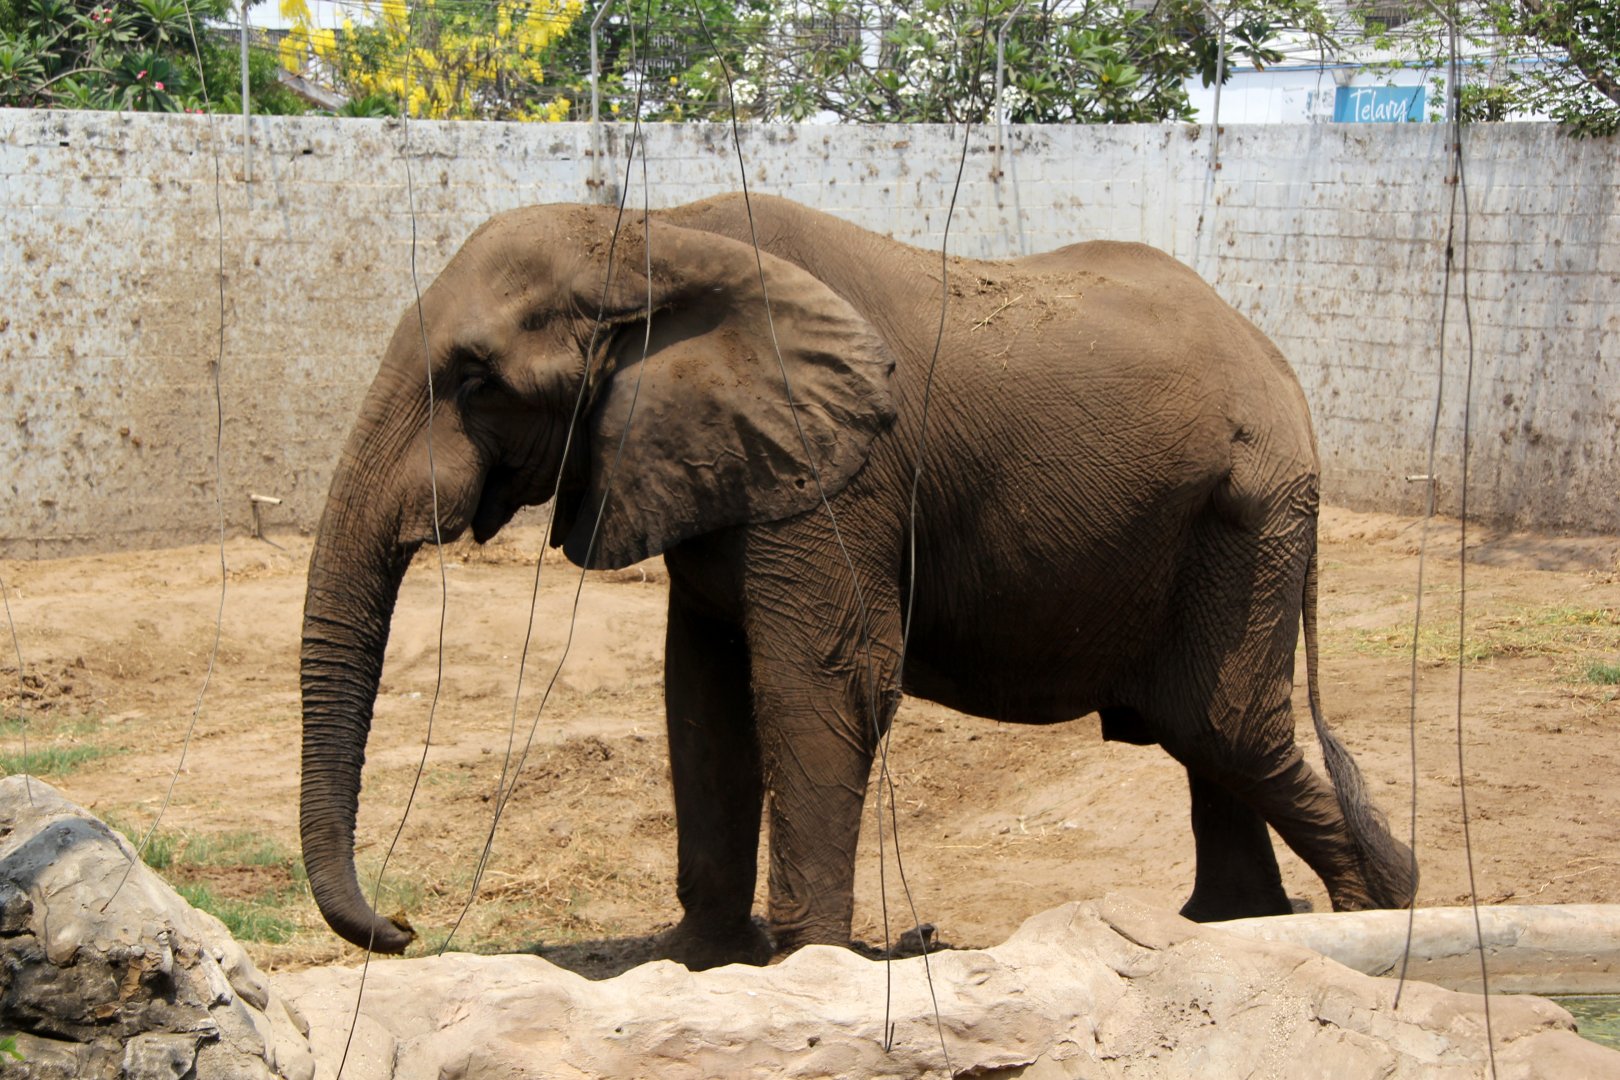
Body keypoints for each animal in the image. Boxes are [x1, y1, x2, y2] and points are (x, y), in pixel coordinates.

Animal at [300, 192, 1417, 970]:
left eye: (476, 377)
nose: (404, 925)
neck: (659, 231)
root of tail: (1282, 369)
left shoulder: (845, 476)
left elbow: (818, 682)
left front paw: (806, 967)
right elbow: (701, 697)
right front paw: (699, 963)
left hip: (1250, 514)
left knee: (1223, 725)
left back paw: (1380, 911)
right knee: (1207, 741)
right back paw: (1240, 928)